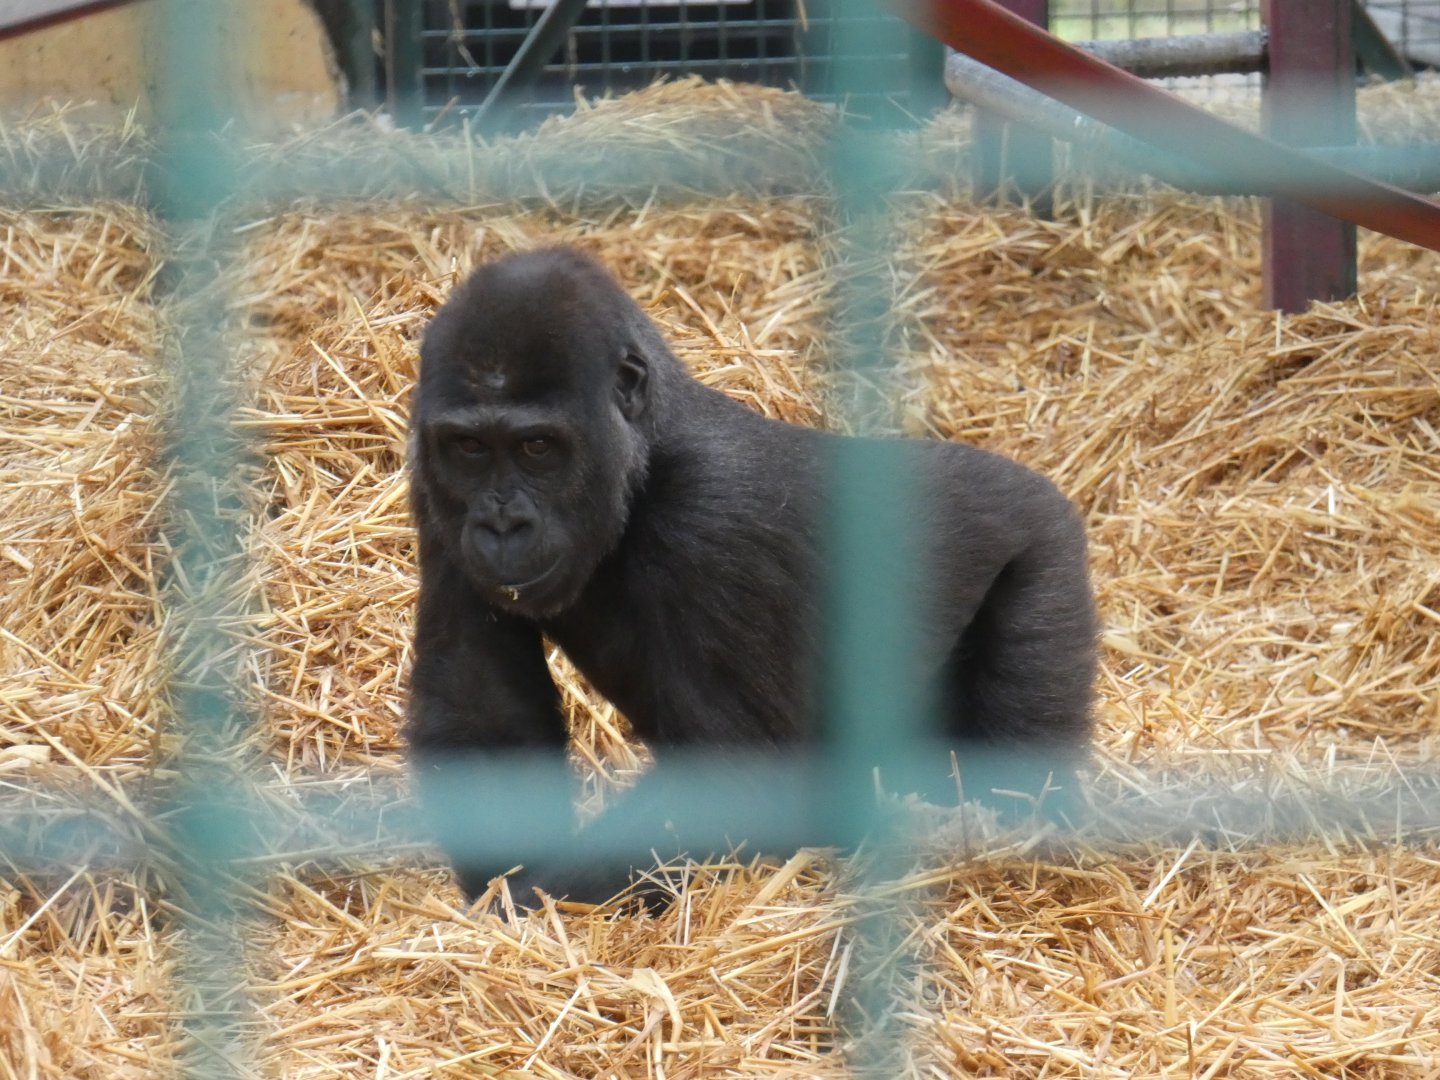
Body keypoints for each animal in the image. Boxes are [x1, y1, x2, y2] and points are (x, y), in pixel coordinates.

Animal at [407, 245, 1097, 907]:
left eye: (538, 448)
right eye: (470, 449)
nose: (503, 525)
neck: (649, 455)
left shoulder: (714, 519)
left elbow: (737, 781)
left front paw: (520, 907)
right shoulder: (430, 483)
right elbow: (480, 704)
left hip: (1045, 555)